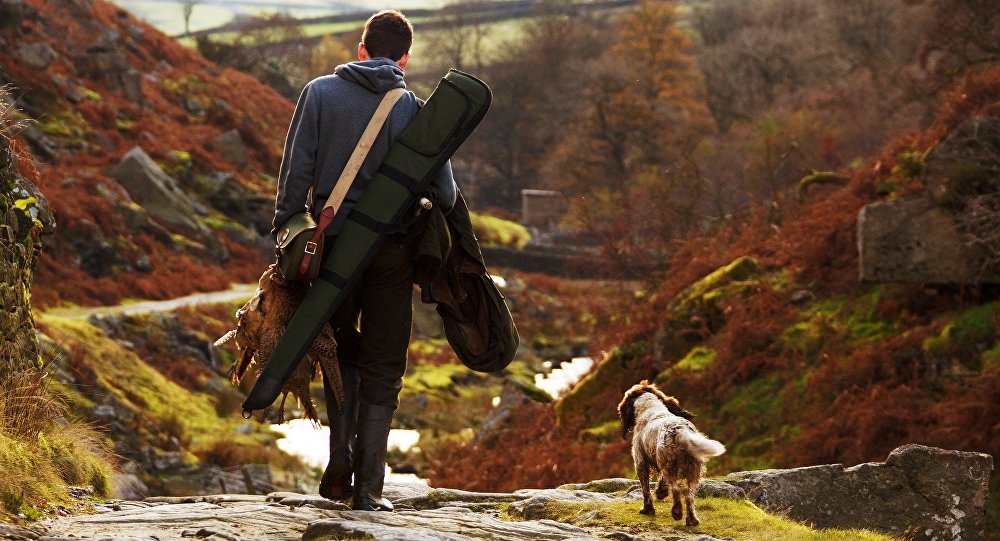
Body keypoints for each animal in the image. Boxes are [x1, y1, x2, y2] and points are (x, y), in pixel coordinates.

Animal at [612, 380, 724, 524]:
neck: (650, 407)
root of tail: (680, 431)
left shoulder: (640, 463)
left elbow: (646, 490)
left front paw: (647, 509)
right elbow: (661, 481)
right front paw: (661, 492)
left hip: (670, 466)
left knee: (676, 490)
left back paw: (677, 512)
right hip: (694, 470)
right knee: (689, 495)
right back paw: (692, 520)